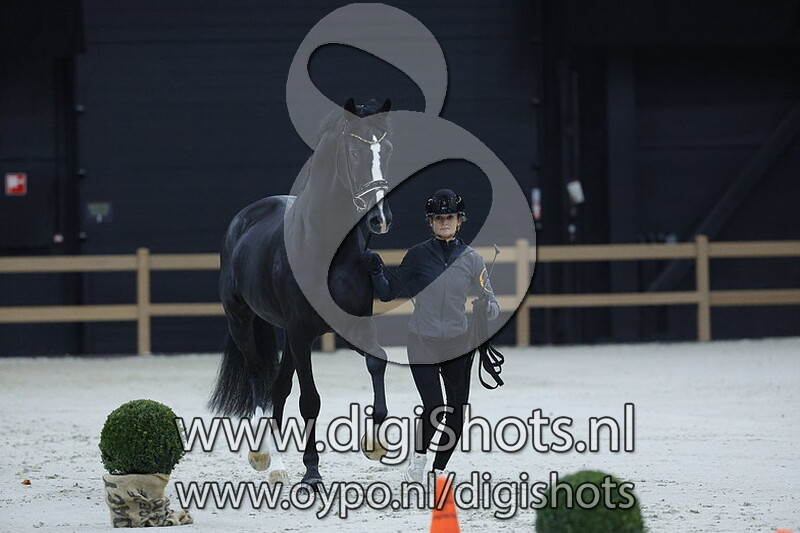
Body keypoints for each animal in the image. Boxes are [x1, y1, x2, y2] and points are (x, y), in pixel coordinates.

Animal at [209, 98, 394, 488]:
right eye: (354, 151)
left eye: (388, 149)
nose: (380, 219)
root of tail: (243, 220)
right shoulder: (300, 332)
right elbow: (310, 399)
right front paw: (311, 472)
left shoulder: (351, 326)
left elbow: (378, 360)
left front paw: (375, 443)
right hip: (243, 322)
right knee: (259, 379)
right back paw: (266, 458)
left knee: (278, 387)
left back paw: (278, 462)